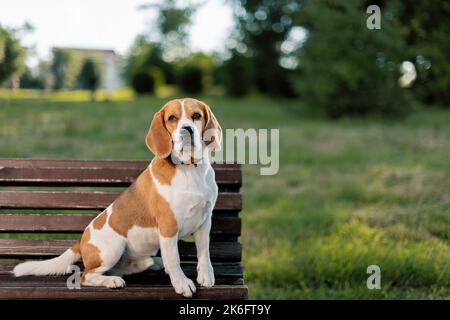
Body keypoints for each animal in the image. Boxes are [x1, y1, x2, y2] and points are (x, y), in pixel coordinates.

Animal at [14, 97, 222, 298]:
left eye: (196, 116)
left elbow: (204, 252)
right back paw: (112, 281)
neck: (190, 169)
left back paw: (149, 263)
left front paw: (206, 275)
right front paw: (181, 283)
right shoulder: (168, 226)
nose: (187, 130)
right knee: (86, 276)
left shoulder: (205, 221)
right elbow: (174, 260)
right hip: (113, 247)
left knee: (121, 268)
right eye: (172, 118)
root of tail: (81, 242)